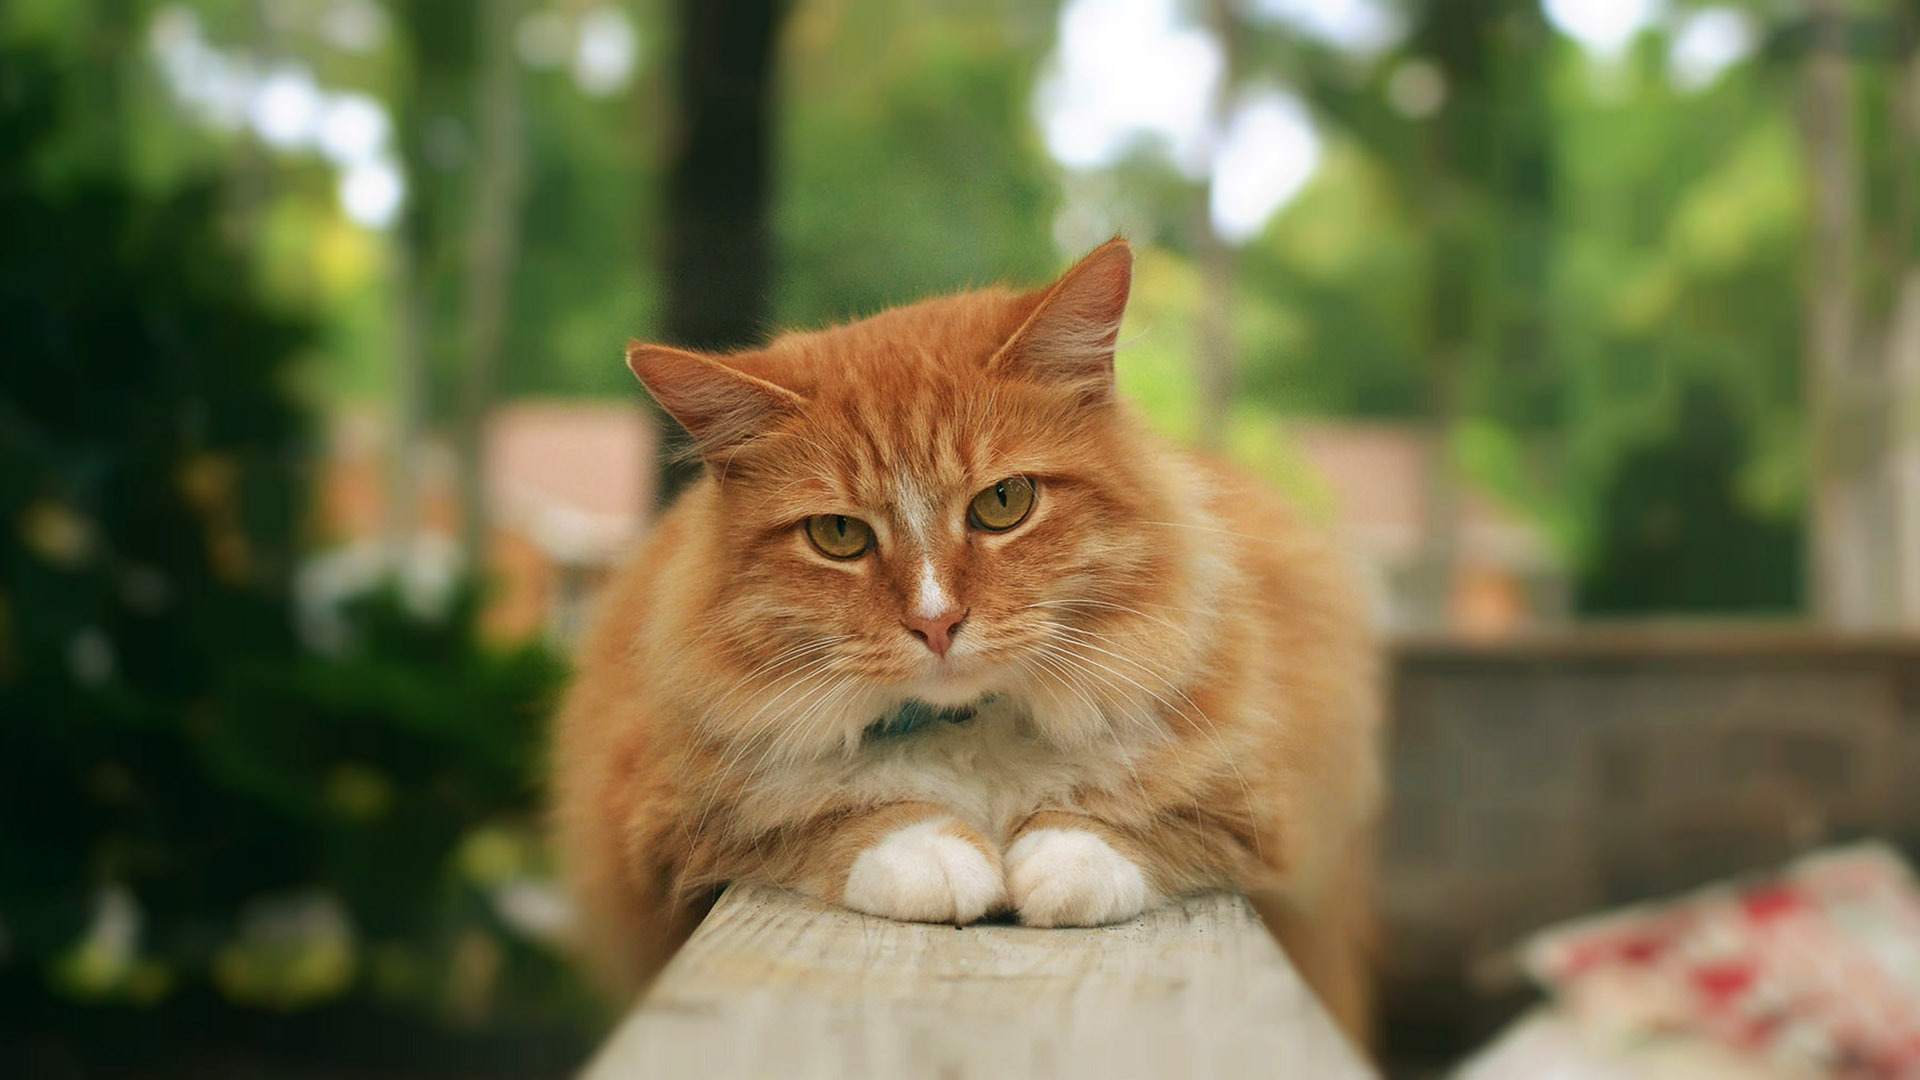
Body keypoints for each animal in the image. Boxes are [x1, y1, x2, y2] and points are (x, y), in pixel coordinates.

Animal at [552, 237, 1382, 1037]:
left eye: (1004, 503)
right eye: (839, 535)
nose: (936, 621)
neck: (969, 727)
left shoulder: (1275, 809)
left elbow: (1136, 821)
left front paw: (1062, 861)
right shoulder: (656, 838)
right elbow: (825, 819)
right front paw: (936, 853)